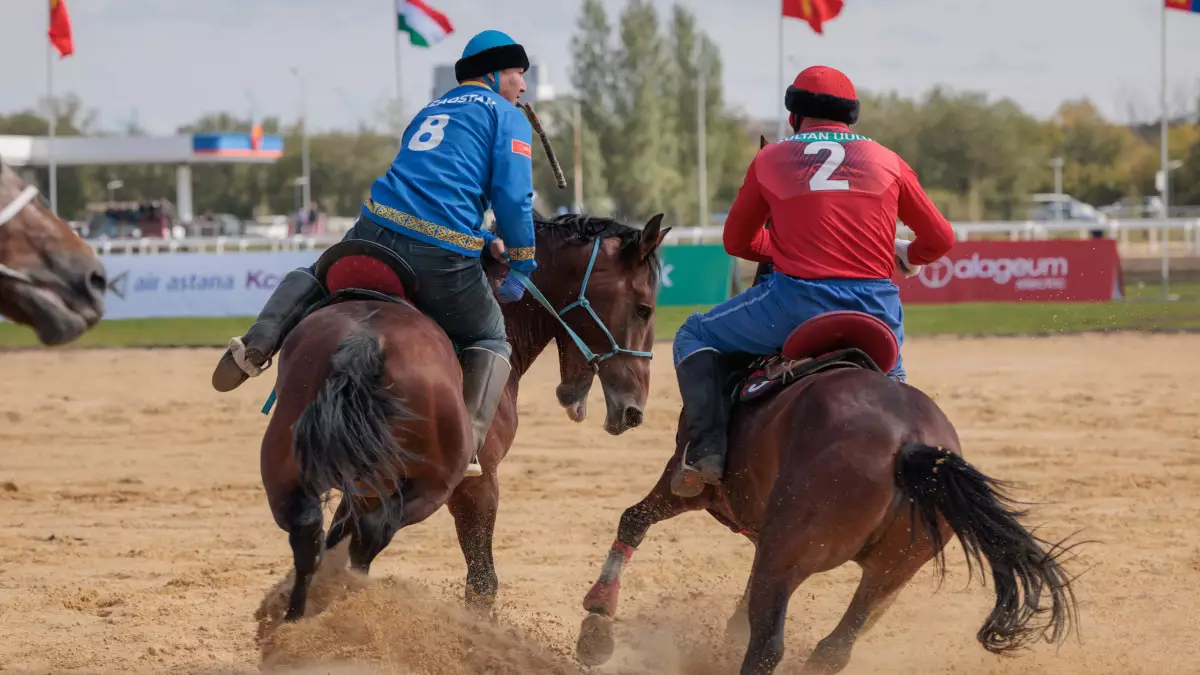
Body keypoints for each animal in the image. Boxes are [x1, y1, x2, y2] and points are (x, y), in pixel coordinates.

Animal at [260, 212, 667, 619]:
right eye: (644, 308)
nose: (634, 408)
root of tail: (365, 339)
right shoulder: (479, 483)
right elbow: (482, 582)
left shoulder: (365, 486)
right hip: (436, 484)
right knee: (371, 534)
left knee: (310, 533)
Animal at [571, 309, 1080, 672]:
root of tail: (910, 444)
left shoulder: (690, 486)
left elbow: (635, 518)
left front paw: (597, 620)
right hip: (887, 575)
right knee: (832, 650)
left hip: (787, 553)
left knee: (767, 647)